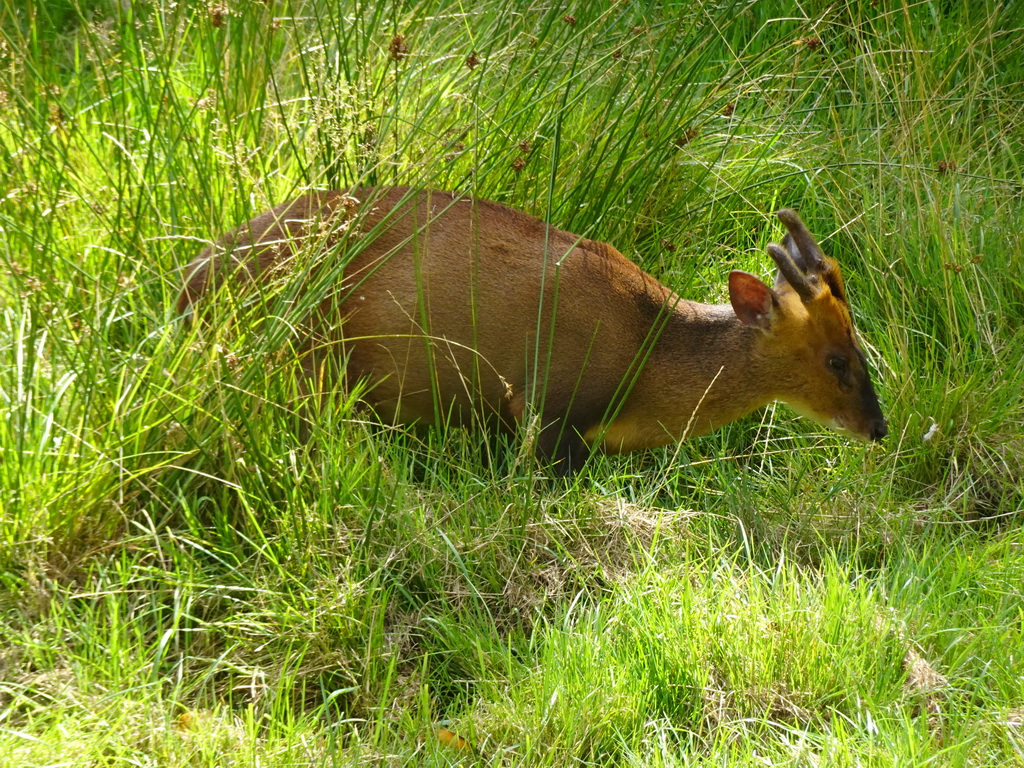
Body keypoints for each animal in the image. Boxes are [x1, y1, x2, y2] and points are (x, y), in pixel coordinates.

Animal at [182, 188, 888, 473]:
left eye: (859, 345)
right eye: (835, 359)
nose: (879, 427)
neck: (647, 362)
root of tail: (194, 273)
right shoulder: (546, 406)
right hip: (309, 355)